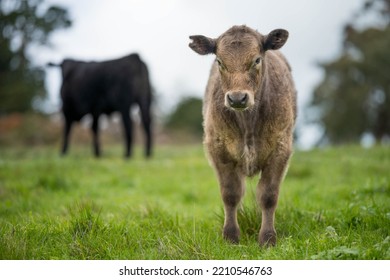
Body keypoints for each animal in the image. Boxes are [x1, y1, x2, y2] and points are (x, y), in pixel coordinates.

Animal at [189, 25, 296, 246]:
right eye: (219, 61)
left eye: (257, 60)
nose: (237, 98)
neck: (248, 126)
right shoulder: (218, 150)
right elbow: (230, 194)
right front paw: (230, 236)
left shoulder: (281, 148)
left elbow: (268, 195)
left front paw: (267, 238)